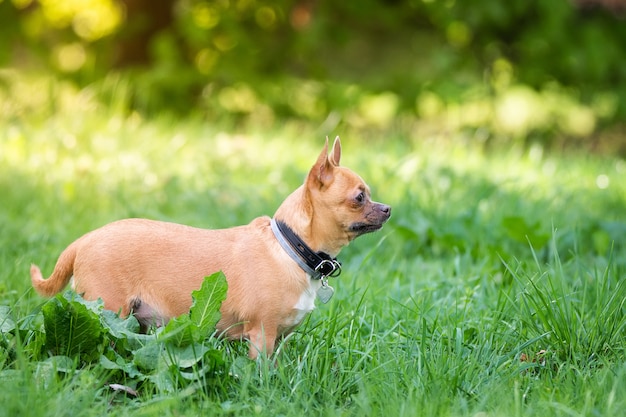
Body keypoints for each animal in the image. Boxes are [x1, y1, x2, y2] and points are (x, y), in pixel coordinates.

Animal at [31, 137, 390, 358]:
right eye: (359, 198)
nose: (387, 209)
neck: (291, 248)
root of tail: (84, 240)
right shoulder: (262, 335)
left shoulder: (278, 338)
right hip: (108, 311)